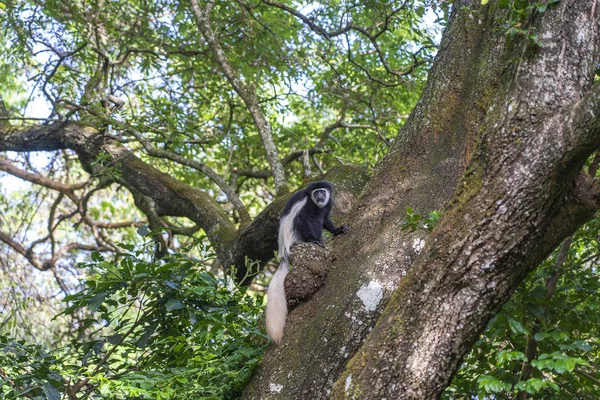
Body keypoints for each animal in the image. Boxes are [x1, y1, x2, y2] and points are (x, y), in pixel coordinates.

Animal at [266, 181, 346, 344]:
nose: (320, 196)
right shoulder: (307, 204)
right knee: (311, 219)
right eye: (316, 193)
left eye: (322, 191)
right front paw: (314, 240)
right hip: (296, 236)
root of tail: (285, 251)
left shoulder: (328, 203)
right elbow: (302, 219)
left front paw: (337, 230)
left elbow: (326, 218)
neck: (316, 203)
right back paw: (315, 240)